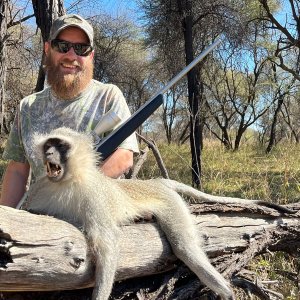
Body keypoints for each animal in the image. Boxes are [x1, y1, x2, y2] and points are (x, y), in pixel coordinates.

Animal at [24, 127, 294, 300]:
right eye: (48, 145)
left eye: (60, 145)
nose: (49, 154)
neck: (66, 182)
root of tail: (157, 183)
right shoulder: (38, 190)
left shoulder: (94, 197)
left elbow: (107, 243)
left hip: (171, 204)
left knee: (186, 248)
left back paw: (225, 291)